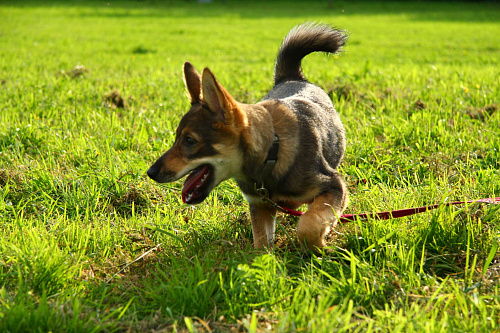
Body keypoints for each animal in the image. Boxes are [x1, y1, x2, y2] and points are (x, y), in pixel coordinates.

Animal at [147, 22, 348, 252]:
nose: (150, 172)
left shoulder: (334, 185)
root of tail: (292, 77)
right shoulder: (259, 205)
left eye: (189, 141)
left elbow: (308, 224)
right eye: (176, 138)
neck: (272, 153)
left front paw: (320, 246)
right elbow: (262, 245)